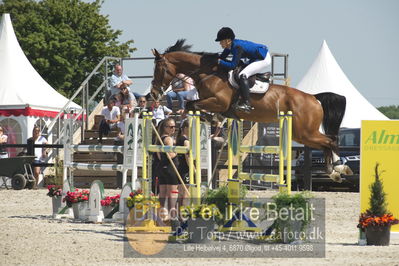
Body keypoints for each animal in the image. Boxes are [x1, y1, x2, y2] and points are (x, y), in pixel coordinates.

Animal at [150, 39, 354, 182]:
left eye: (159, 69)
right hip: (301, 134)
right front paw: (212, 119)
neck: (208, 73)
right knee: (327, 143)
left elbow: (192, 105)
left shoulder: (218, 102)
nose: (154, 92)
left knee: (330, 141)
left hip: (305, 132)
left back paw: (339, 169)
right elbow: (194, 106)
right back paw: (334, 172)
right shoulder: (215, 104)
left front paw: (210, 119)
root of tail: (313, 97)